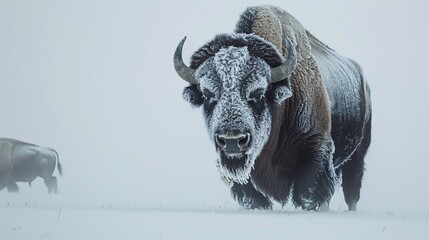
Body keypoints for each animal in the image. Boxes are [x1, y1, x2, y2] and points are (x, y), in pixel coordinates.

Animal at [174, 5, 372, 212]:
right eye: (207, 94)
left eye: (258, 93)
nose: (231, 141)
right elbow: (252, 197)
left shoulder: (316, 148)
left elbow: (308, 195)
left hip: (359, 154)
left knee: (351, 190)